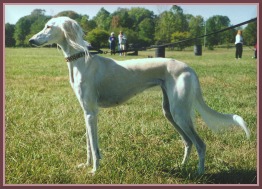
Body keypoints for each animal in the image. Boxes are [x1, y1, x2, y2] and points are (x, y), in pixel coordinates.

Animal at [28, 17, 250, 175]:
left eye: (48, 26)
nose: (30, 40)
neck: (81, 61)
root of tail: (189, 67)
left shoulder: (91, 112)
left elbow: (95, 146)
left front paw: (95, 171)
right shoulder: (86, 113)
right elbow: (89, 145)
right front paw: (86, 165)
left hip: (179, 112)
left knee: (200, 144)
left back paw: (199, 173)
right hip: (170, 111)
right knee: (188, 142)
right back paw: (182, 166)